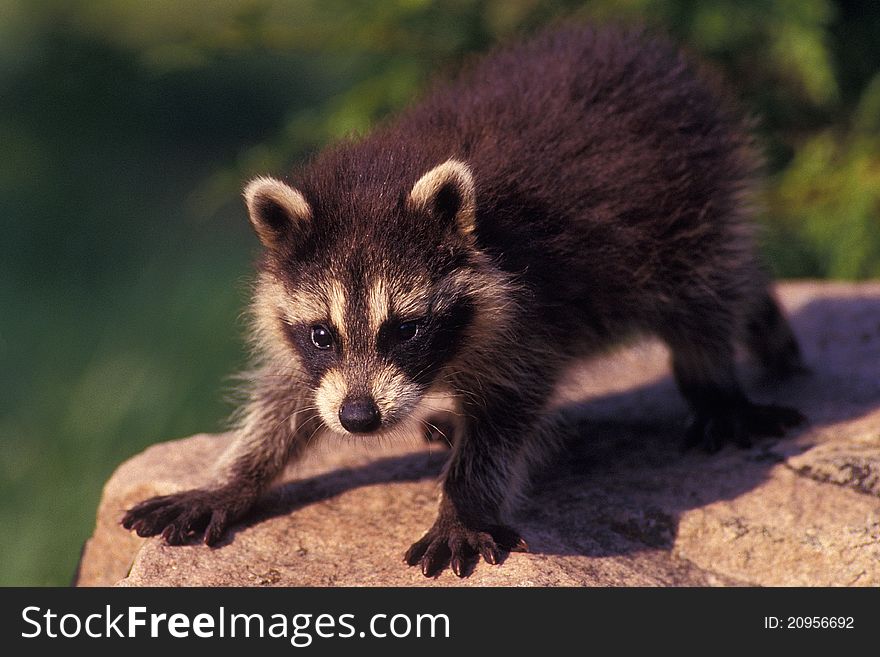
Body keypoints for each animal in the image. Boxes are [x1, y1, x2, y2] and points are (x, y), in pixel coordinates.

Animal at [124, 25, 804, 576]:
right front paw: (234, 475)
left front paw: (464, 503)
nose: (359, 420)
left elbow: (505, 413)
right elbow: (290, 396)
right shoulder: (321, 360)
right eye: (322, 334)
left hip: (689, 202)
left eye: (405, 330)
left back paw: (715, 382)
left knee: (706, 295)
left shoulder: (529, 314)